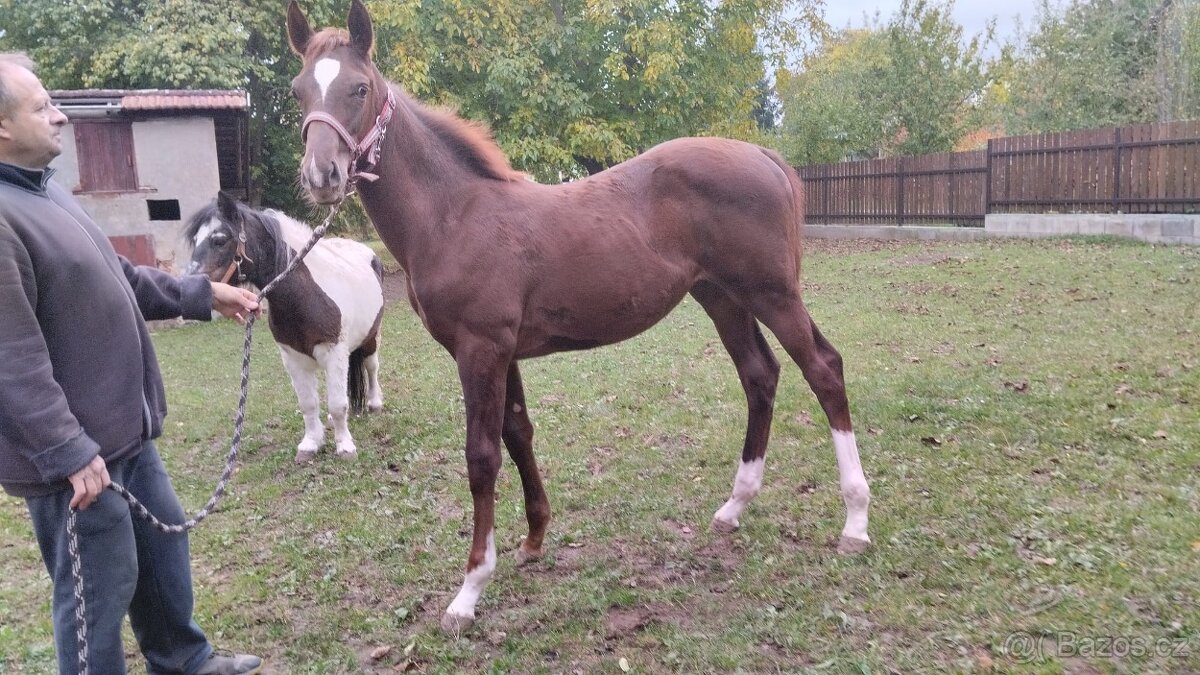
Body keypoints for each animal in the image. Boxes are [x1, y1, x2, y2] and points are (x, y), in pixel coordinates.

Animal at [185, 191, 385, 462]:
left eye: (219, 239)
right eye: (195, 240)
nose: (190, 283)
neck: (304, 294)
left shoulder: (333, 351)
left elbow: (337, 403)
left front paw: (345, 447)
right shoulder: (292, 357)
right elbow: (309, 404)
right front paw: (310, 444)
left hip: (371, 337)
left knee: (371, 366)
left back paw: (374, 403)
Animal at [286, 0, 873, 633]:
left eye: (359, 88)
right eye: (299, 90)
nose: (321, 176)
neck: (454, 215)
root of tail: (762, 154)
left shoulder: (480, 349)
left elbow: (482, 456)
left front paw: (469, 590)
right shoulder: (504, 351)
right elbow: (518, 433)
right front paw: (533, 540)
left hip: (772, 294)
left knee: (823, 368)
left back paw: (855, 521)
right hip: (722, 298)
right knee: (760, 375)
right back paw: (735, 505)